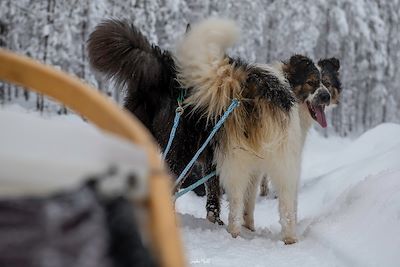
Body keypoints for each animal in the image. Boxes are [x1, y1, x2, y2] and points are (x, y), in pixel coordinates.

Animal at [87, 17, 340, 245]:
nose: (326, 96)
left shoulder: (222, 161)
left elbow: (219, 195)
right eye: (312, 82)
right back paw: (287, 238)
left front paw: (222, 220)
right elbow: (249, 200)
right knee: (284, 204)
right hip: (249, 158)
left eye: (327, 82)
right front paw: (249, 226)